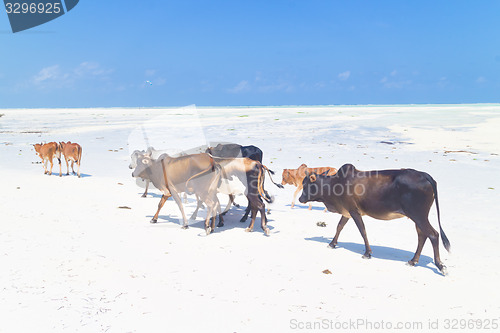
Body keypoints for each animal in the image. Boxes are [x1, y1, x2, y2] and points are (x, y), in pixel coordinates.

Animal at [298, 163, 452, 274]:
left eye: (306, 185)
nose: (300, 199)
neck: (335, 185)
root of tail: (425, 175)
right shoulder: (347, 212)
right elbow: (339, 226)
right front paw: (332, 243)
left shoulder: (354, 211)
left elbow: (362, 230)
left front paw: (367, 253)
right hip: (417, 217)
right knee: (422, 235)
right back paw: (413, 261)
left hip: (418, 215)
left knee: (433, 234)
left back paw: (440, 266)